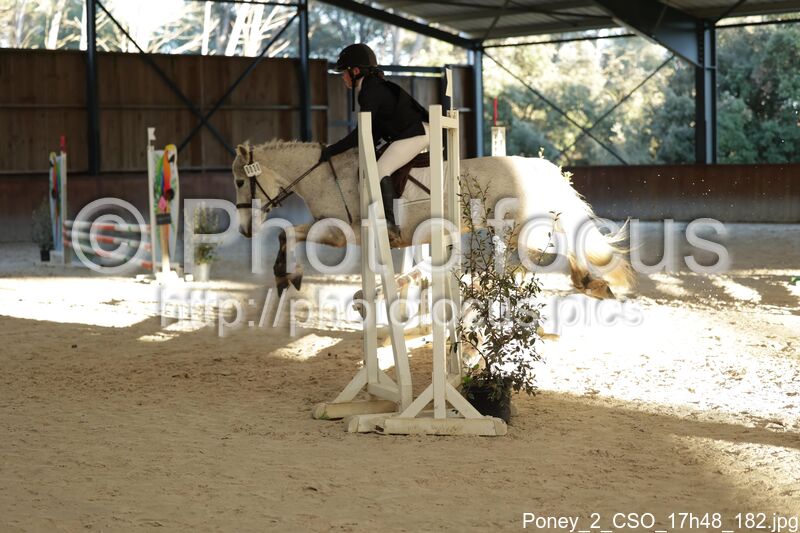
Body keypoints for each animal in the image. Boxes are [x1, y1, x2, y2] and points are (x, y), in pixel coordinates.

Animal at [231, 140, 633, 299]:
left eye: (238, 181)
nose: (245, 230)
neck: (325, 175)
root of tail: (535, 165)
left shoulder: (340, 233)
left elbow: (287, 232)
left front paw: (286, 276)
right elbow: (288, 234)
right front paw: (288, 276)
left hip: (519, 228)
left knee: (553, 248)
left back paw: (590, 281)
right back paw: (590, 282)